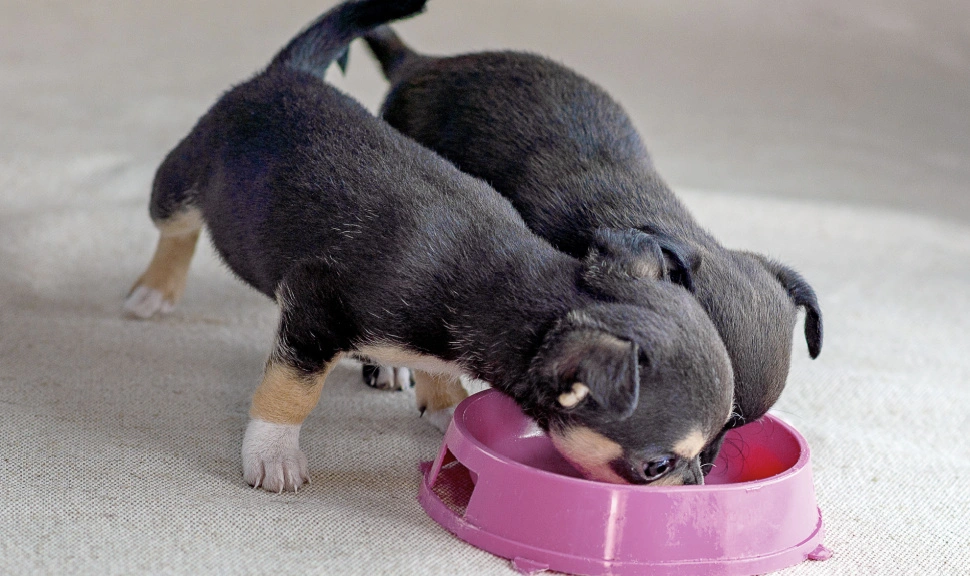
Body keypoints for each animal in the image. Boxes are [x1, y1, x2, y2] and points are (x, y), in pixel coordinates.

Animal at [126, 0, 732, 490]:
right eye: (658, 465)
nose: (697, 487)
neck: (502, 287)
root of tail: (288, 71)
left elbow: (439, 372)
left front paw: (447, 409)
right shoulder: (312, 312)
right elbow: (291, 389)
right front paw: (273, 454)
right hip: (182, 180)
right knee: (176, 227)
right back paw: (154, 289)